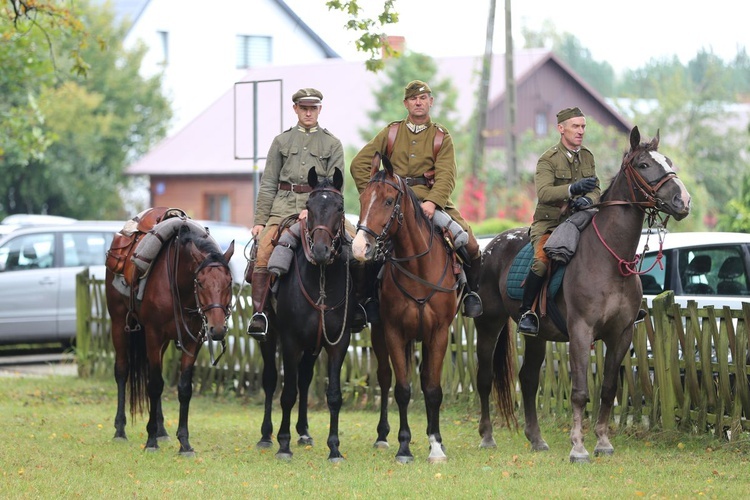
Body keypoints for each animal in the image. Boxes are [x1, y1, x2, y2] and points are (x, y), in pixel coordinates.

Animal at [106, 217, 235, 456]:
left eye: (229, 282)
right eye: (200, 282)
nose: (217, 329)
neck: (179, 287)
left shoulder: (192, 341)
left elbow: (184, 388)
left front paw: (184, 443)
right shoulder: (153, 335)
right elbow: (155, 385)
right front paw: (150, 441)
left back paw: (161, 430)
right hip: (119, 323)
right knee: (122, 372)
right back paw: (120, 431)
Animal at [256, 167, 356, 460]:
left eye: (339, 207)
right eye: (309, 208)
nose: (321, 251)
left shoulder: (337, 343)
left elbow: (332, 394)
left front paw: (334, 448)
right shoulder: (290, 341)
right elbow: (287, 392)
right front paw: (283, 444)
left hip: (313, 347)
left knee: (304, 379)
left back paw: (304, 432)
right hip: (269, 338)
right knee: (271, 380)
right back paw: (266, 436)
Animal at [354, 153, 464, 464]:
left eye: (389, 200)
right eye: (362, 198)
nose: (360, 247)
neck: (418, 267)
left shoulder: (439, 334)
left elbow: (433, 388)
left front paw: (436, 445)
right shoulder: (393, 332)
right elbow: (402, 389)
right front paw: (404, 446)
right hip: (381, 335)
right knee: (385, 377)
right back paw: (382, 437)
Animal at [476, 127, 692, 462]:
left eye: (668, 161)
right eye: (643, 165)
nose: (683, 200)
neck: (611, 259)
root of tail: (492, 245)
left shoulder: (621, 335)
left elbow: (607, 389)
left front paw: (602, 442)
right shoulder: (580, 332)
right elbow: (579, 392)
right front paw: (578, 447)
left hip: (536, 335)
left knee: (528, 380)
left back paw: (536, 438)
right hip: (488, 323)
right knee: (485, 377)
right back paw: (487, 436)